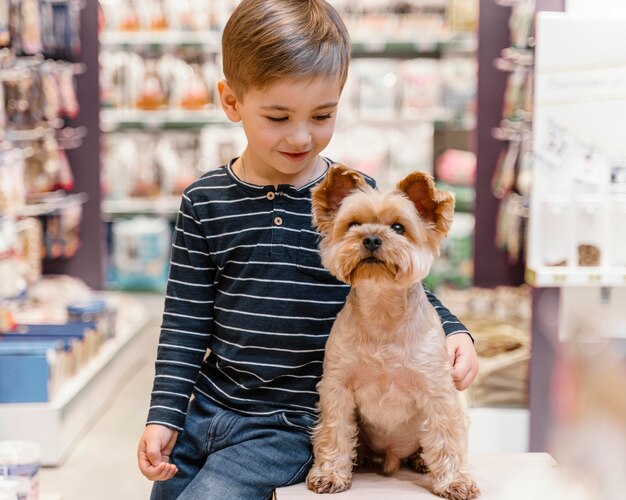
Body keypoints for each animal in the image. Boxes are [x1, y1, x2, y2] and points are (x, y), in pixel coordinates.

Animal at [304, 165, 476, 500]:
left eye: (399, 227)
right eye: (353, 224)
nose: (371, 238)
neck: (382, 309)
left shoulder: (437, 391)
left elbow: (446, 436)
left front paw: (453, 481)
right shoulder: (337, 387)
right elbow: (334, 430)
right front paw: (330, 474)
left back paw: (422, 461)